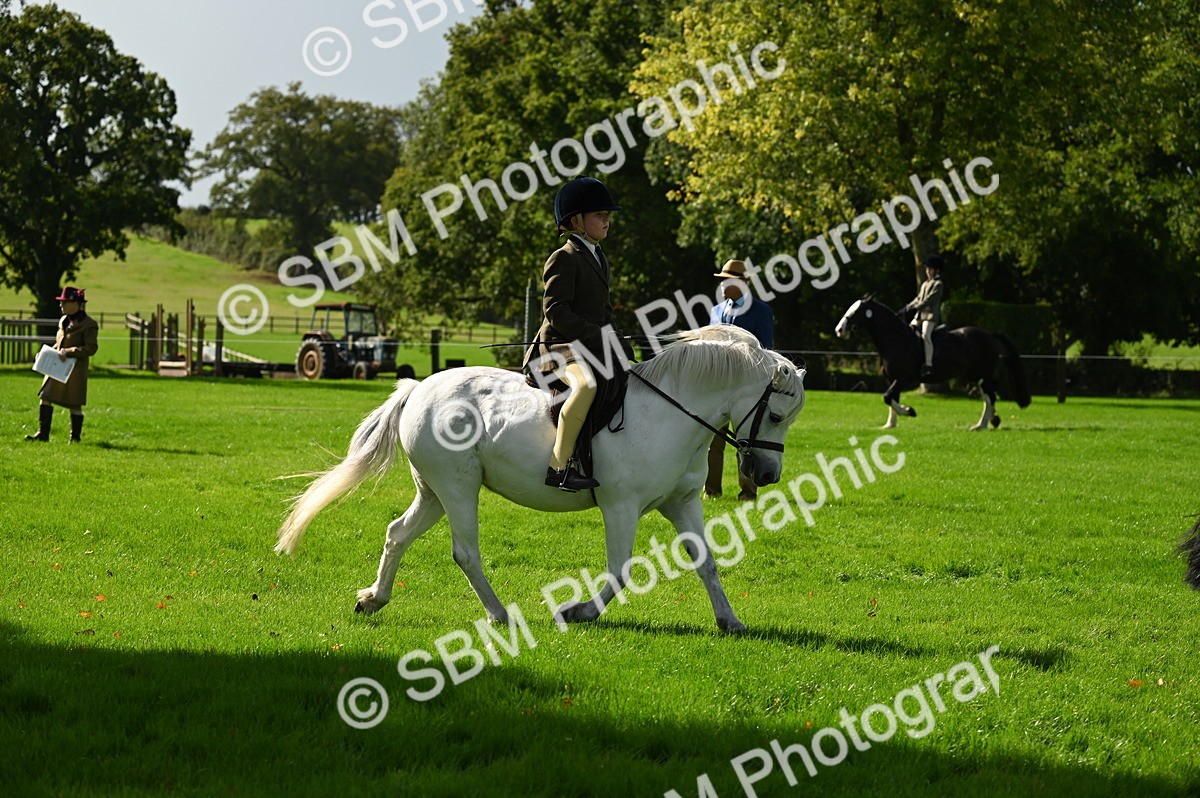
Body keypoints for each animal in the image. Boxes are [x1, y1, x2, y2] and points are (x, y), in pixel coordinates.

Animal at [275, 325, 807, 633]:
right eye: (777, 414)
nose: (766, 474)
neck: (671, 412)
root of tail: (420, 387)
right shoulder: (621, 506)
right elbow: (620, 571)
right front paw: (577, 612)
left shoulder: (682, 502)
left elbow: (708, 562)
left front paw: (730, 620)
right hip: (457, 486)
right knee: (465, 551)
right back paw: (499, 615)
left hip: (434, 491)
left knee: (397, 534)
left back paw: (374, 599)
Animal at [834, 295, 1031, 430]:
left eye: (857, 312)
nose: (839, 330)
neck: (897, 341)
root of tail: (990, 335)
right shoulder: (892, 379)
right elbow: (891, 398)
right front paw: (890, 425)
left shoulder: (904, 379)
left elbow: (887, 397)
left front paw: (909, 411)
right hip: (975, 375)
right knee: (989, 393)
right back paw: (993, 420)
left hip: (981, 373)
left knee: (990, 395)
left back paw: (980, 425)